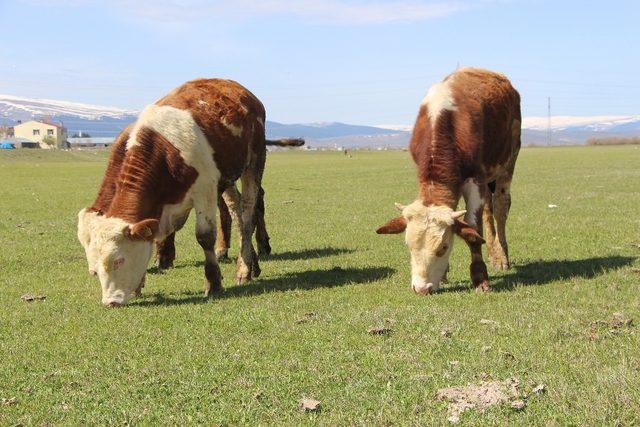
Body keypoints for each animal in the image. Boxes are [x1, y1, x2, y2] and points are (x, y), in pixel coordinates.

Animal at [78, 78, 270, 306]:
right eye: (94, 270)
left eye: (118, 260)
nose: (110, 302)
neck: (164, 153)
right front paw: (141, 282)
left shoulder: (205, 189)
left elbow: (205, 236)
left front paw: (214, 283)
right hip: (227, 177)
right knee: (236, 210)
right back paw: (252, 265)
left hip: (254, 163)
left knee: (248, 215)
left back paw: (244, 268)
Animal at [376, 67, 520, 294]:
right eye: (409, 246)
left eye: (443, 247)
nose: (421, 288)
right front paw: (444, 274)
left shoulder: (474, 180)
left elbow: (473, 228)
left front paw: (480, 277)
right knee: (488, 211)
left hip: (508, 163)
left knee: (500, 208)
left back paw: (501, 256)